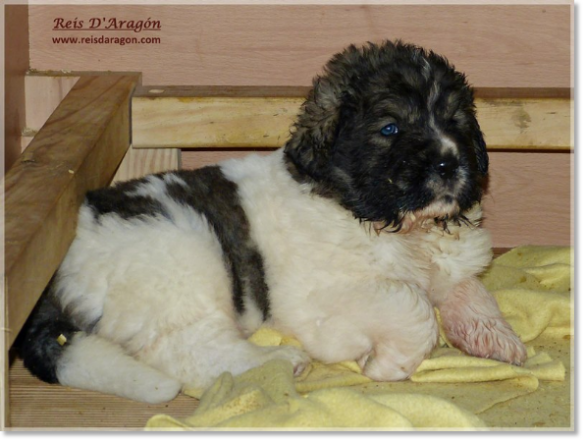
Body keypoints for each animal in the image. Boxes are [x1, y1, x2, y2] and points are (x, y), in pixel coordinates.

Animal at [20, 42, 528, 404]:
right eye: (390, 128)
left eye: (455, 121)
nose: (448, 164)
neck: (392, 224)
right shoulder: (321, 297)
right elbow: (412, 303)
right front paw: (388, 364)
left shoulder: (448, 263)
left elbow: (467, 287)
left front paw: (496, 338)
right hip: (184, 265)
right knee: (191, 353)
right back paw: (281, 359)